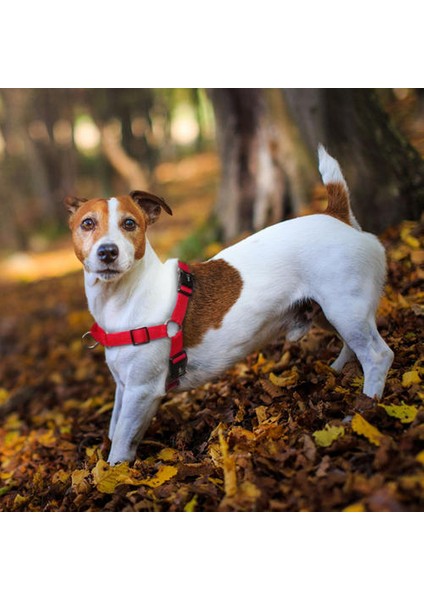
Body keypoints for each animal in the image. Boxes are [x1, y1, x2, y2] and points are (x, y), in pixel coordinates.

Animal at [65, 145, 394, 464]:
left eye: (130, 223)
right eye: (87, 223)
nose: (108, 251)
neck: (126, 295)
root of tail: (336, 216)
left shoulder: (141, 391)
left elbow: (121, 439)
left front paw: (113, 472)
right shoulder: (124, 387)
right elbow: (114, 426)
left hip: (345, 309)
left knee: (378, 356)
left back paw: (364, 409)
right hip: (330, 311)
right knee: (353, 346)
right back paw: (338, 371)